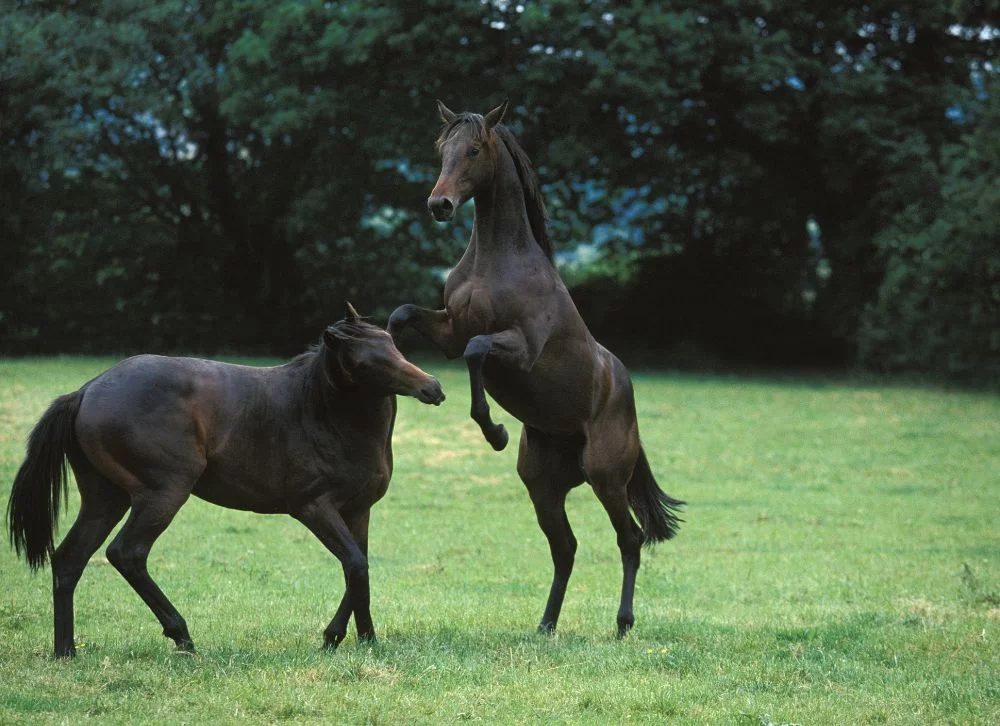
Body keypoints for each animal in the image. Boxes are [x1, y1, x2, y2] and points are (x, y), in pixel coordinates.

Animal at [7, 304, 446, 656]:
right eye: (364, 363)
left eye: (393, 345)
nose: (434, 387)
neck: (320, 409)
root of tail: (85, 391)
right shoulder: (314, 507)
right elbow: (354, 564)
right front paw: (334, 638)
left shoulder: (357, 511)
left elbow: (359, 569)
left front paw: (366, 639)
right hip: (162, 494)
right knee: (127, 553)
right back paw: (181, 635)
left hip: (105, 500)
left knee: (69, 560)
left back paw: (65, 651)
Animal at [390, 101, 688, 636]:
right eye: (442, 149)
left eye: (474, 149)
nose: (440, 204)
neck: (496, 262)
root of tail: (624, 393)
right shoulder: (448, 331)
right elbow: (403, 315)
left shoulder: (518, 348)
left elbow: (478, 351)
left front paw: (494, 432)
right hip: (543, 486)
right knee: (565, 548)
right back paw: (546, 624)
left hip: (606, 478)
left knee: (629, 539)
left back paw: (623, 623)